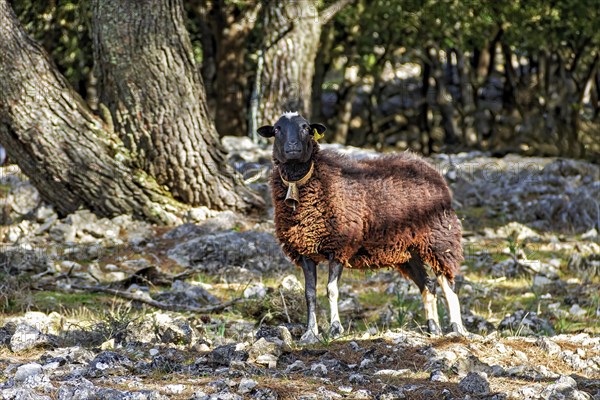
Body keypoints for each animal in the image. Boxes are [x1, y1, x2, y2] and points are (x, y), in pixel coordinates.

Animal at [256, 111, 464, 342]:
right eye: (277, 129)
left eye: (305, 128)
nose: (293, 147)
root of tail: (428, 167)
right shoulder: (304, 250)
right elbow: (309, 294)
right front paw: (310, 333)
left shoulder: (339, 245)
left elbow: (331, 290)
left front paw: (335, 329)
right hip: (409, 251)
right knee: (428, 286)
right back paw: (433, 329)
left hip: (439, 240)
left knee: (449, 285)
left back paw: (456, 328)